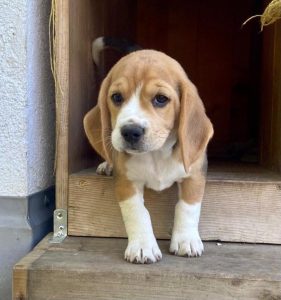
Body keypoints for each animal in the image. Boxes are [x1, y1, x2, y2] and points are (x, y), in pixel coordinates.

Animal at [83, 48, 212, 262]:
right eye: (116, 97)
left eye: (161, 99)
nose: (130, 131)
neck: (155, 154)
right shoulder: (126, 183)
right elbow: (137, 213)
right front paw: (142, 246)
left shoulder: (194, 174)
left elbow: (188, 207)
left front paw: (186, 240)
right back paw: (106, 165)